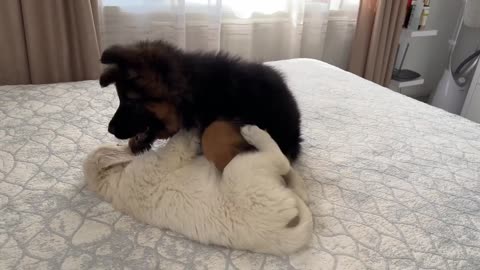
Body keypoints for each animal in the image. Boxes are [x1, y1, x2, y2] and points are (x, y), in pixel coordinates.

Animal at [84, 124, 314, 255]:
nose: (131, 145)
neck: (113, 183)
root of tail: (280, 234)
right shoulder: (161, 162)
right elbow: (178, 145)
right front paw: (189, 130)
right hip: (242, 167)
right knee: (281, 161)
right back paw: (254, 132)